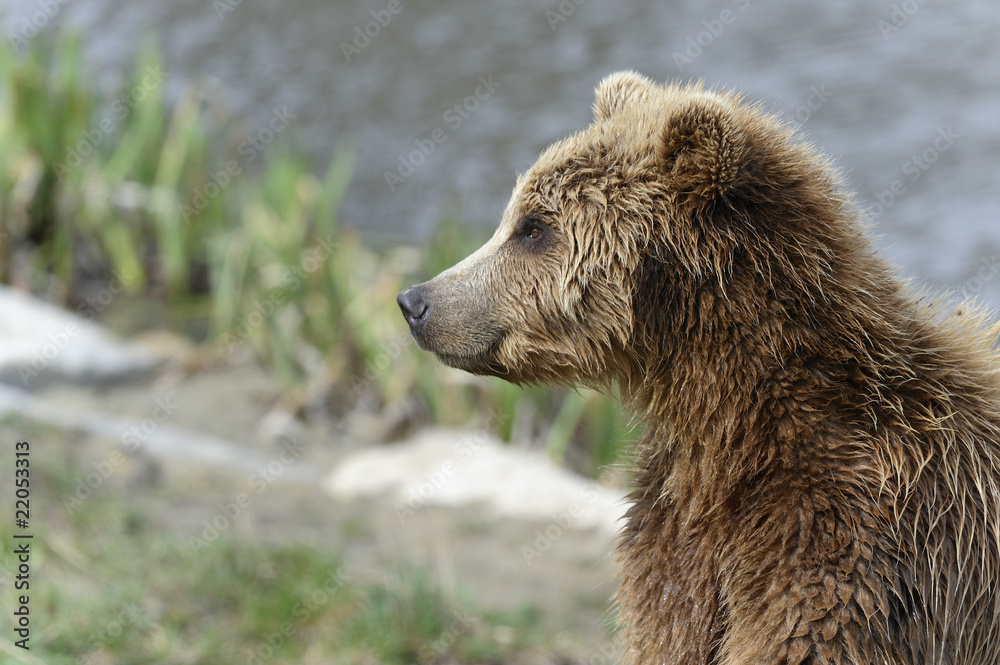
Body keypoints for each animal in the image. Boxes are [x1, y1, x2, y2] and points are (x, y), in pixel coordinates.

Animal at [397, 71, 1000, 664]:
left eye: (534, 227)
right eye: (515, 216)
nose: (416, 301)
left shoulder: (855, 540)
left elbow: (808, 637)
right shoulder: (677, 541)